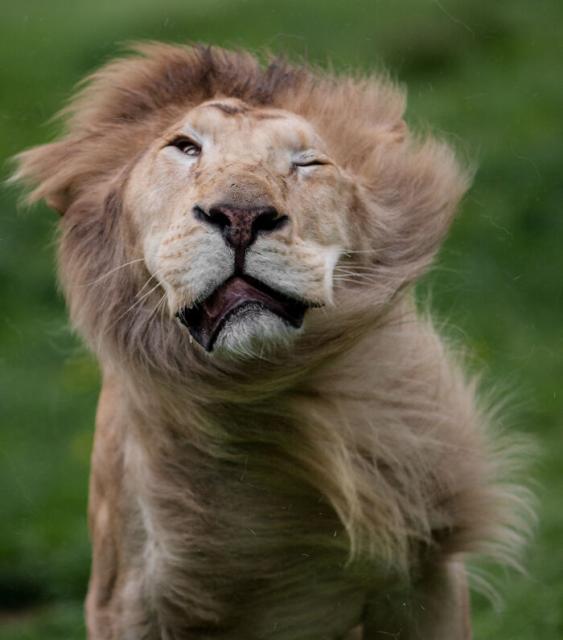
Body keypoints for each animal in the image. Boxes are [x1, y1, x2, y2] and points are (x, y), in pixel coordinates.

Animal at [13, 43, 531, 639]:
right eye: (185, 147)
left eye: (307, 162)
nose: (241, 215)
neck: (261, 399)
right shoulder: (125, 603)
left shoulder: (427, 574)